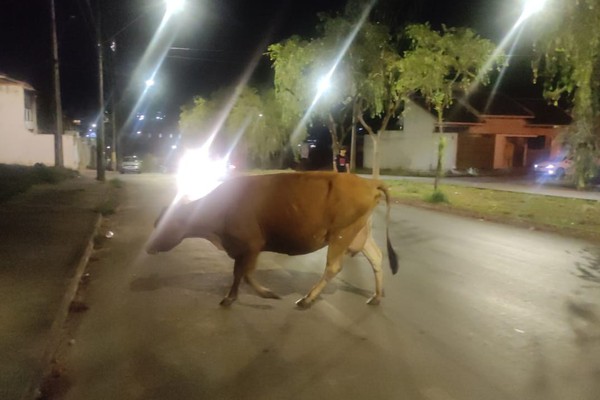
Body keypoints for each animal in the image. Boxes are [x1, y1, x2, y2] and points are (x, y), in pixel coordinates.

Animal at [146, 170, 398, 308]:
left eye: (164, 225)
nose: (148, 247)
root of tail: (367, 182)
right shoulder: (242, 248)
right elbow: (238, 274)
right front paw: (230, 297)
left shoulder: (251, 244)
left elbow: (245, 274)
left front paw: (265, 293)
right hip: (359, 233)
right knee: (376, 257)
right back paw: (376, 296)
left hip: (341, 234)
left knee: (333, 266)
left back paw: (307, 299)